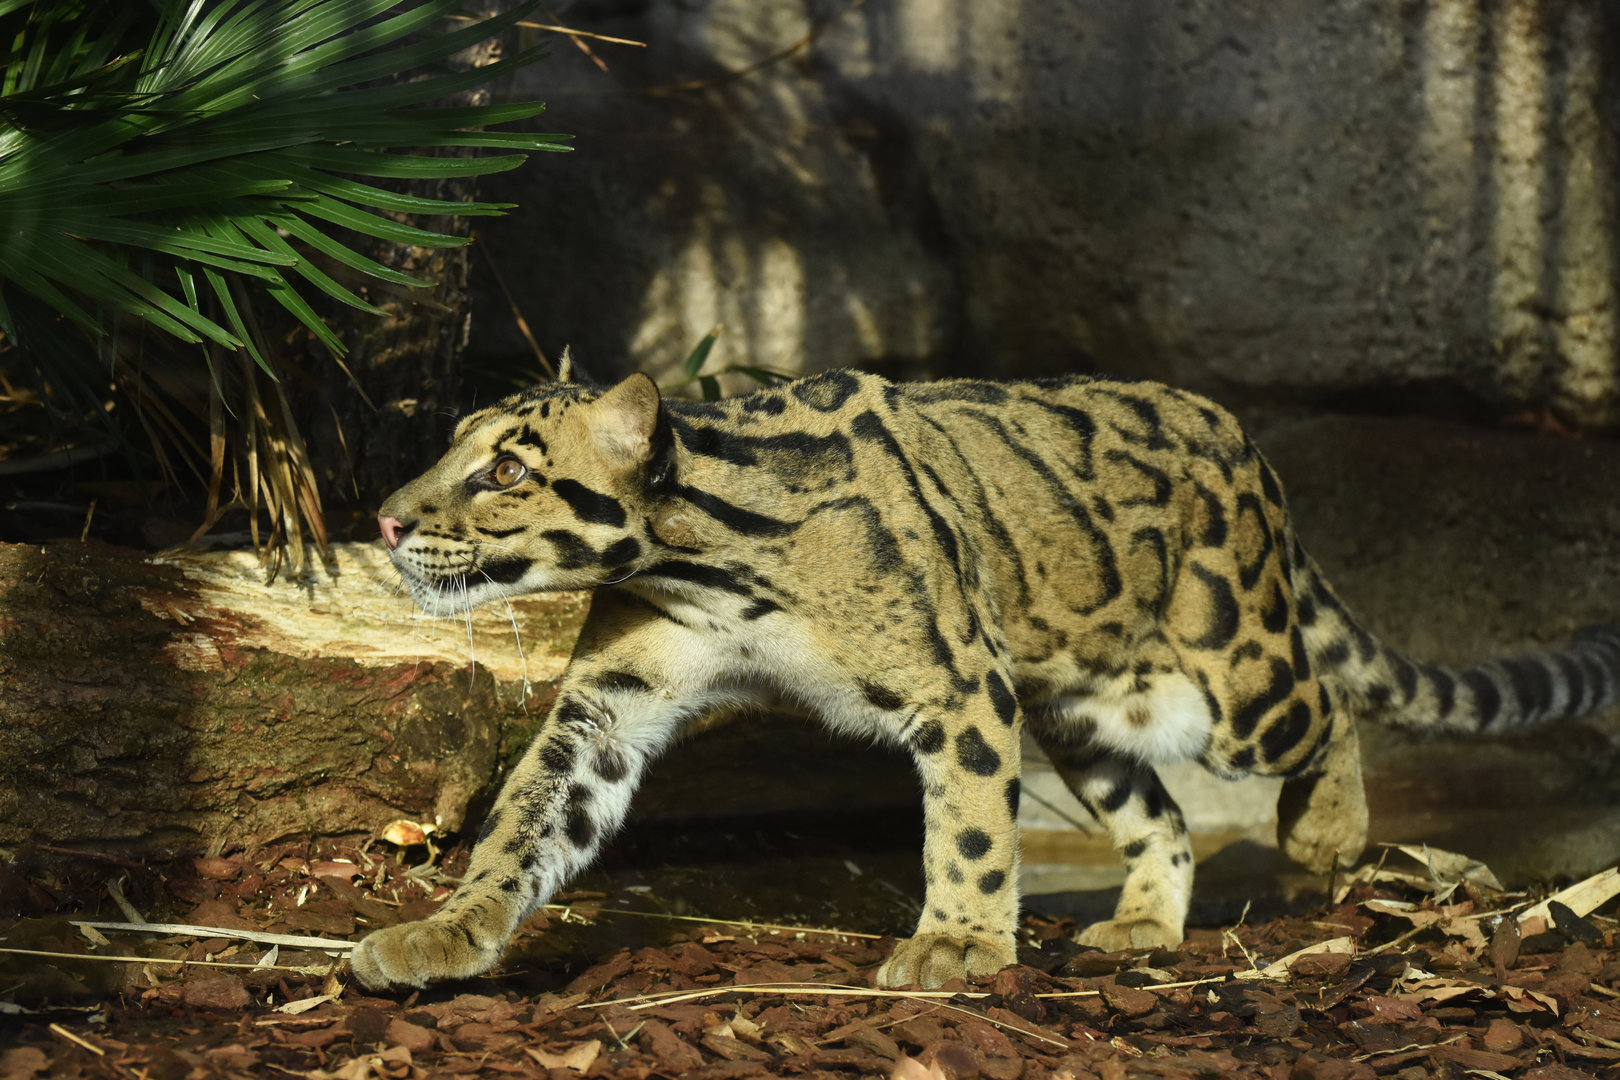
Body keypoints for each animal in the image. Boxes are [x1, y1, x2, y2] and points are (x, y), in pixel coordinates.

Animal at [350, 362, 1620, 991]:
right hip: (1092, 710)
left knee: (1327, 708)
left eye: (508, 470)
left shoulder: (959, 688)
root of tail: (1241, 437)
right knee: (1163, 818)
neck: (705, 566)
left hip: (1234, 673)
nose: (388, 518)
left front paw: (956, 945)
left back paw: (1325, 833)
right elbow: (528, 817)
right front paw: (448, 932)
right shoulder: (609, 704)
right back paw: (1143, 925)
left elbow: (967, 828)